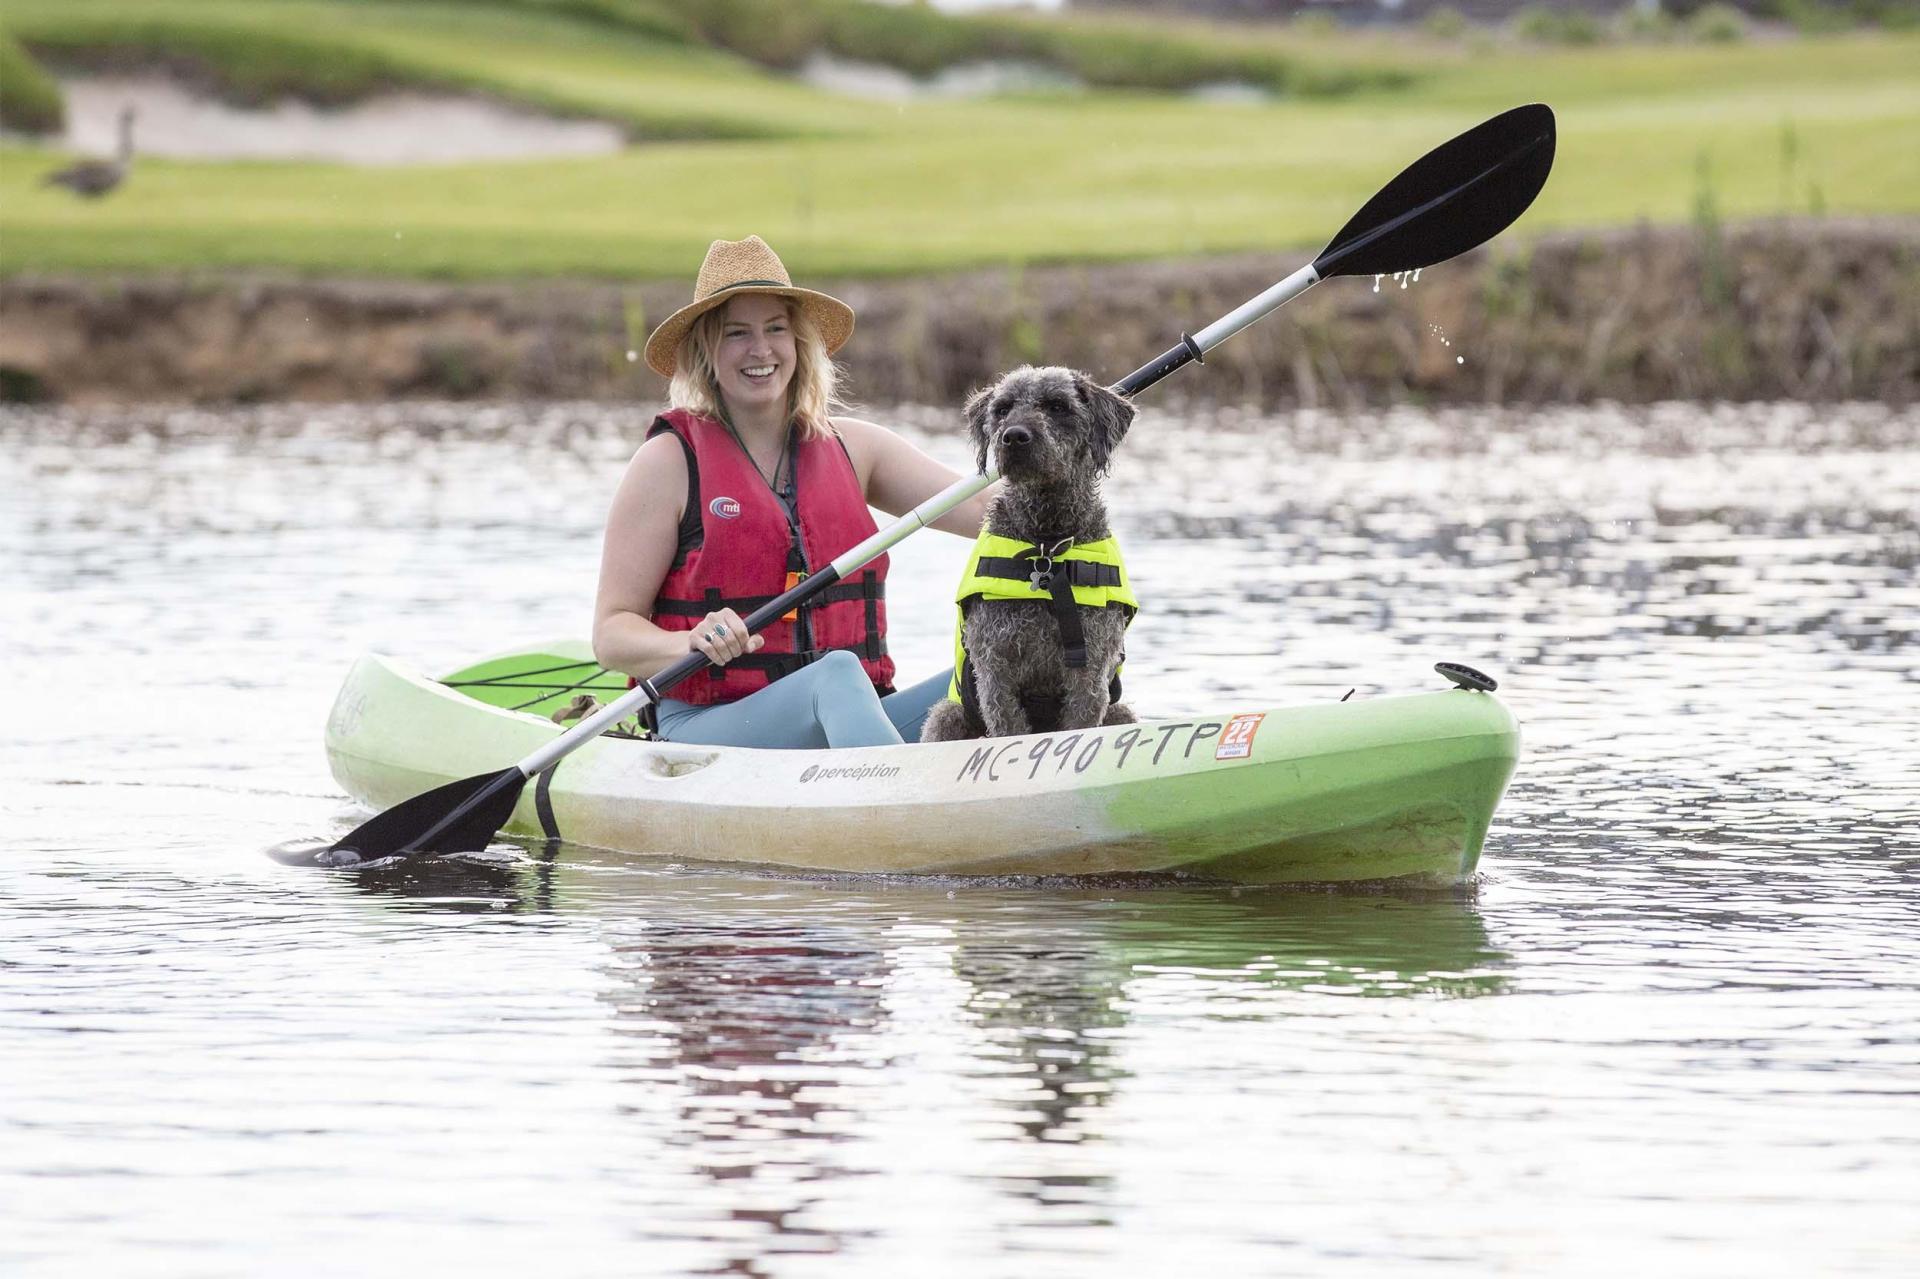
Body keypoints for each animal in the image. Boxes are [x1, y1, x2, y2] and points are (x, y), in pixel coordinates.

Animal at [917, 361, 1128, 737]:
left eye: (1057, 406)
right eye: (1002, 409)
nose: (1014, 436)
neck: (1047, 546)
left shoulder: (1089, 675)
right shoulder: (995, 671)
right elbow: (1008, 726)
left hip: (1122, 711)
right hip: (946, 715)